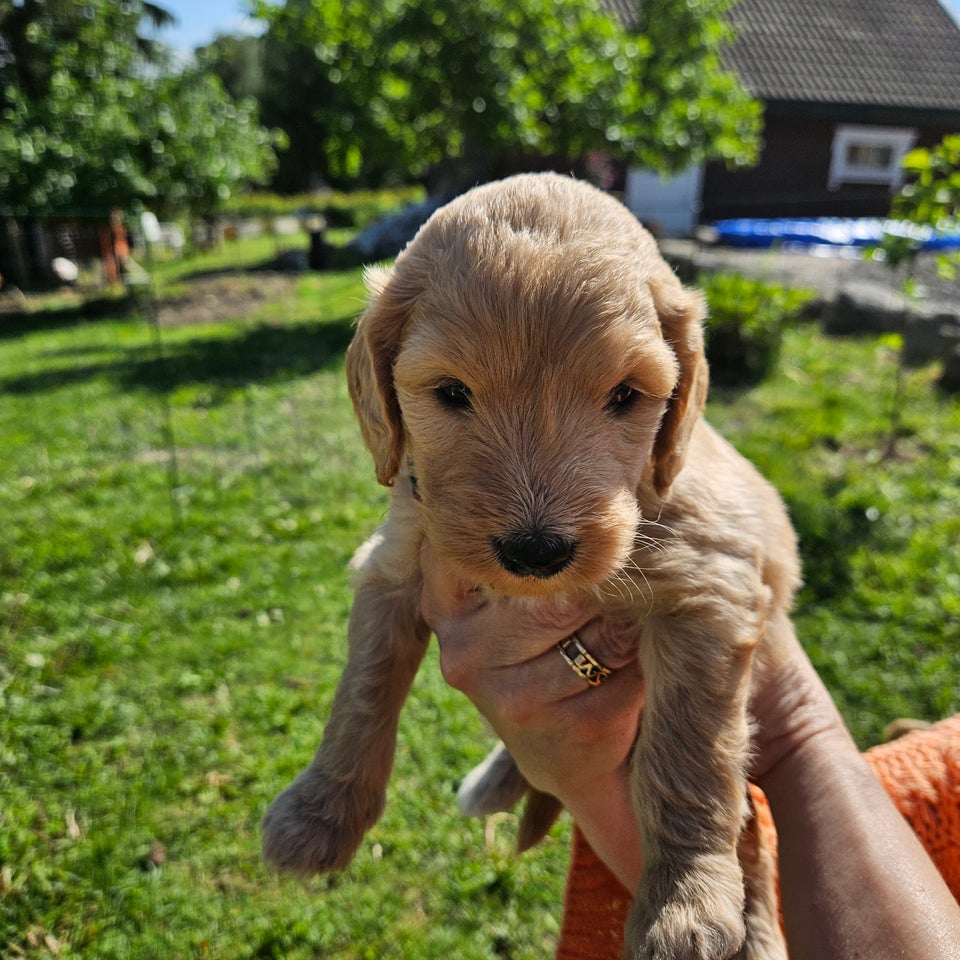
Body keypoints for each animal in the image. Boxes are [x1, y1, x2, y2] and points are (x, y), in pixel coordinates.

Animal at [260, 172, 796, 960]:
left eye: (626, 396)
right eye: (451, 392)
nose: (535, 551)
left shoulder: (712, 588)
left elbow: (689, 758)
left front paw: (685, 905)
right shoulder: (395, 563)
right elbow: (361, 694)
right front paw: (317, 814)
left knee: (752, 830)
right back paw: (493, 779)